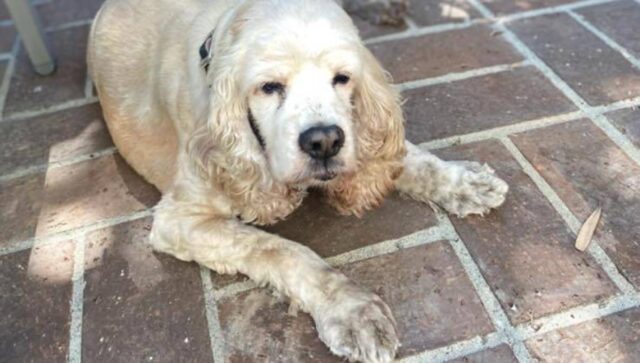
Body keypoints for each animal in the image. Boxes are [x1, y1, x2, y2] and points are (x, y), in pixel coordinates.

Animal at [89, 1, 510, 362]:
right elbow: (279, 250)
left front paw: (462, 181)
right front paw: (350, 308)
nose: (324, 141)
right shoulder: (180, 219)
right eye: (269, 87)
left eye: (342, 78)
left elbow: (407, 157)